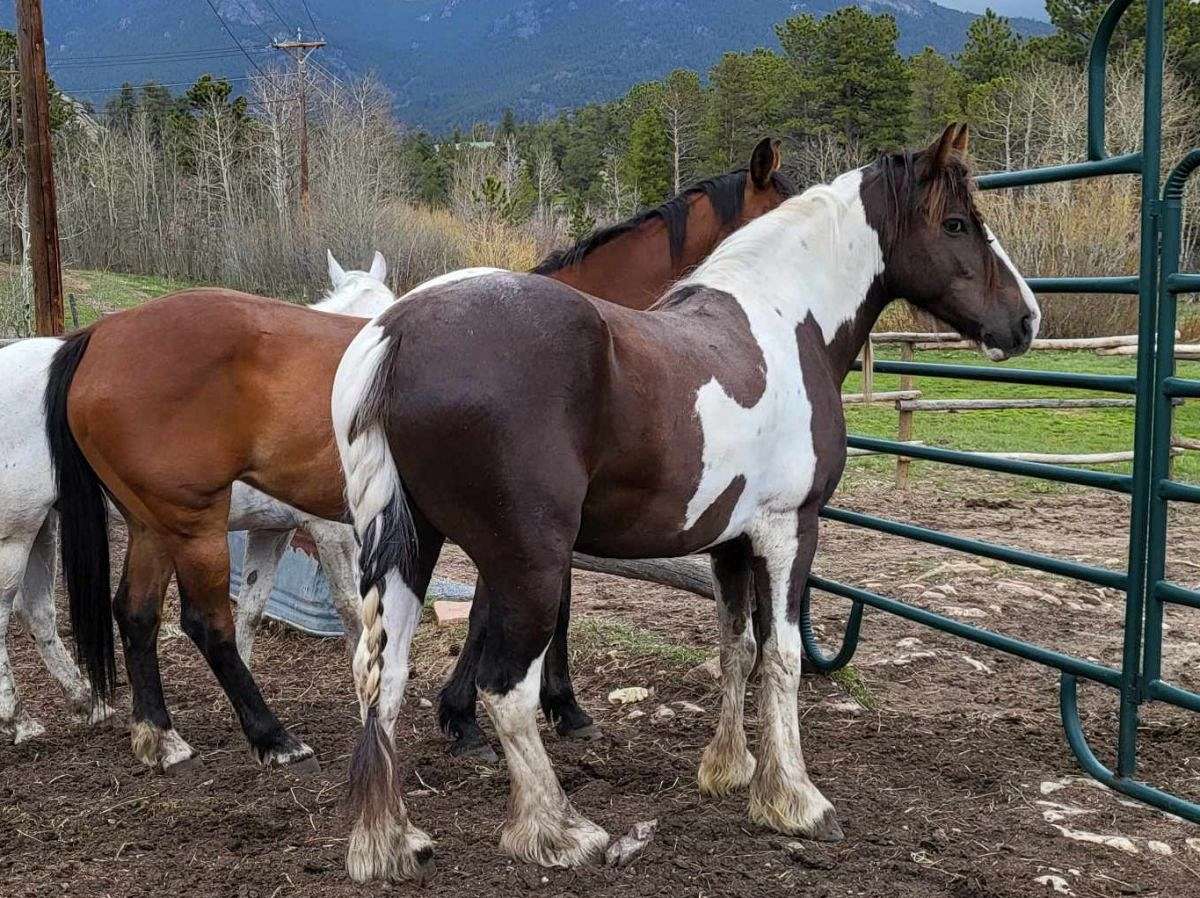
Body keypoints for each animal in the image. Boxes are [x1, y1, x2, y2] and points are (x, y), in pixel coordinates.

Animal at [0, 248, 391, 739]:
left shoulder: (273, 532)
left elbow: (253, 606)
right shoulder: (330, 533)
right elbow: (352, 609)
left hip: (43, 526)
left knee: (36, 612)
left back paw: (84, 699)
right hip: (15, 533)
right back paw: (16, 715)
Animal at [44, 138, 796, 773]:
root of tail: (101, 335)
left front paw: (538, 706)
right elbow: (516, 612)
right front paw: (482, 714)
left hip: (153, 522)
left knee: (136, 614)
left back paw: (160, 736)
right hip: (194, 521)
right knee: (207, 624)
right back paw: (272, 735)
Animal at [331, 123, 1041, 878]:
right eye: (958, 222)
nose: (1026, 319)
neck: (785, 323)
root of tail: (397, 333)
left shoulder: (731, 541)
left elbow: (738, 647)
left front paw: (730, 770)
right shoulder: (791, 531)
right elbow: (783, 656)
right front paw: (795, 800)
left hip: (412, 547)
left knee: (383, 677)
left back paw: (390, 841)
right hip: (527, 563)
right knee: (507, 690)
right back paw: (558, 832)